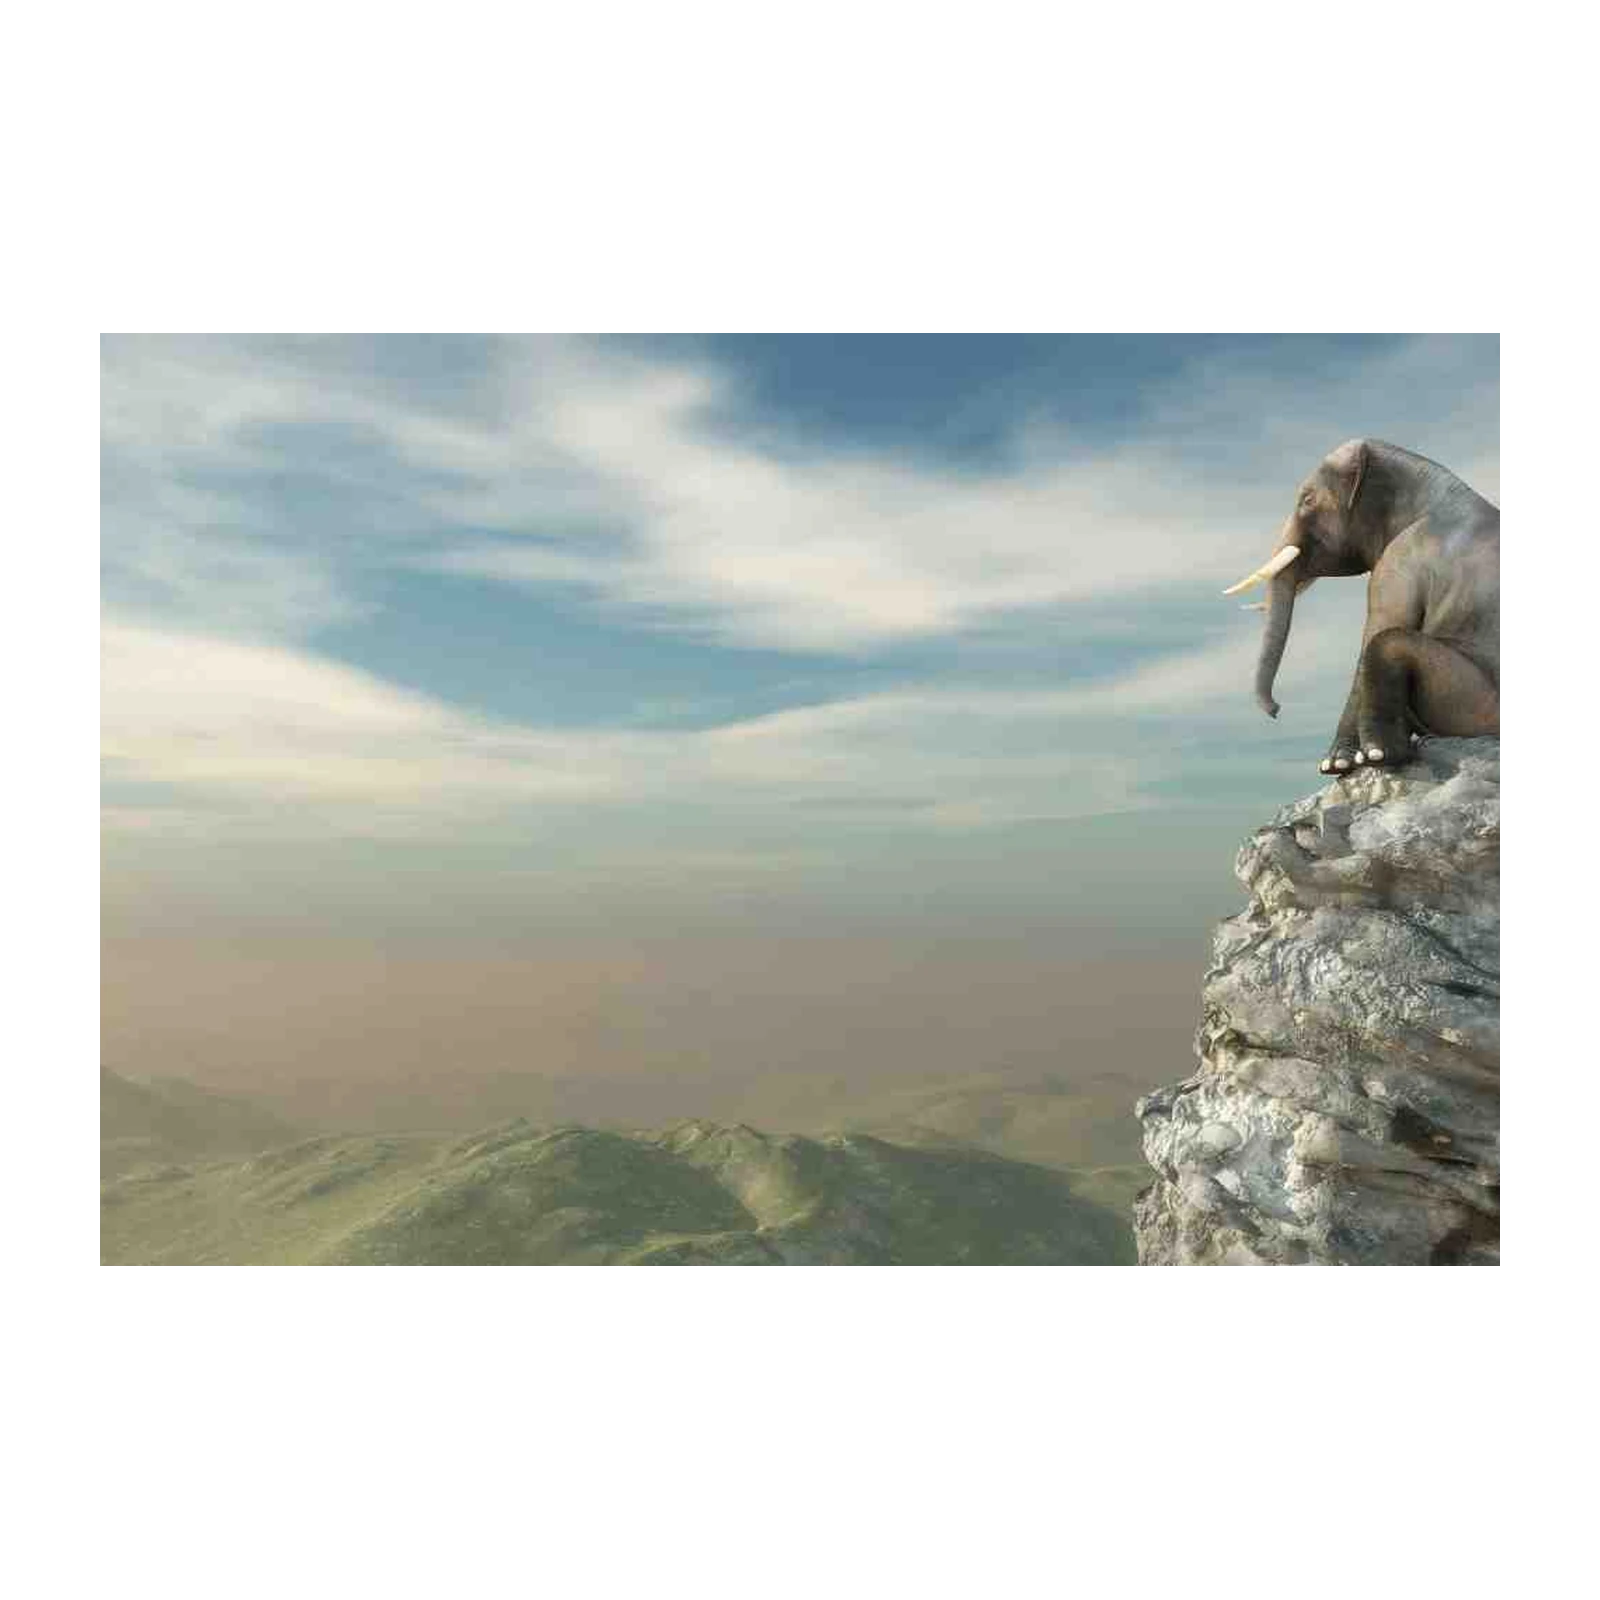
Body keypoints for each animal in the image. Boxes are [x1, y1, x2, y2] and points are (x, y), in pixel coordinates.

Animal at [1223, 439, 1502, 775]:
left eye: (1307, 499)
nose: (1276, 710)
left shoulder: (1398, 562)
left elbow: (1380, 628)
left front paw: (1336, 764)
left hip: (1475, 702)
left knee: (1388, 642)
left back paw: (1381, 754)